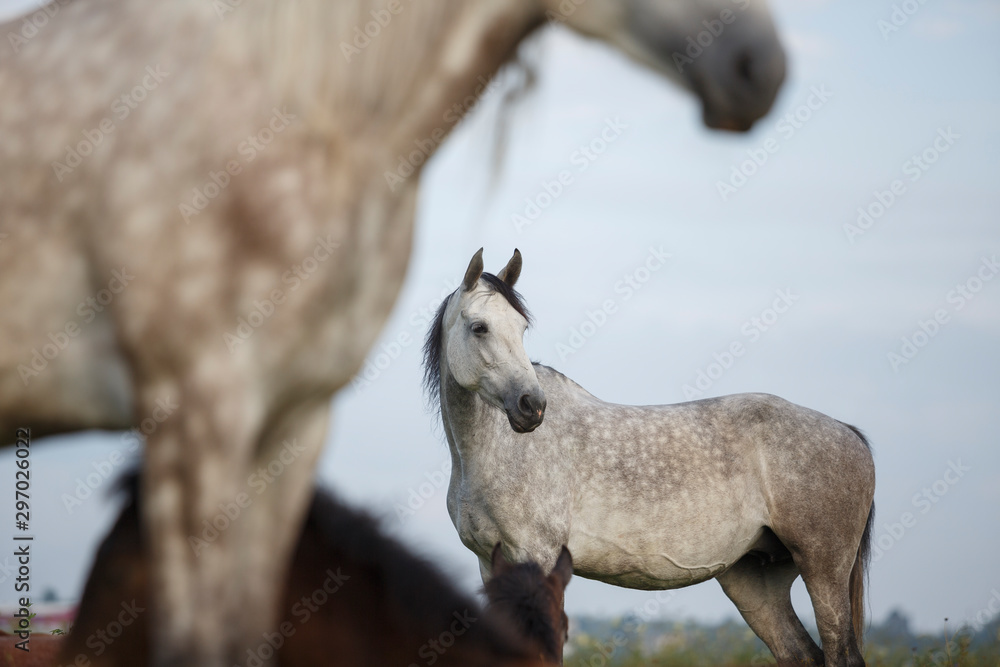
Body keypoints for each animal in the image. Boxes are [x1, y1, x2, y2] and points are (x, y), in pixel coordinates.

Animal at [423, 249, 877, 667]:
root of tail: (848, 433)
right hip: (755, 581)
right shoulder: (490, 564)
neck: (493, 451)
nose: (531, 406)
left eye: (521, 328)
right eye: (479, 327)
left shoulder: (538, 558)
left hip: (824, 569)